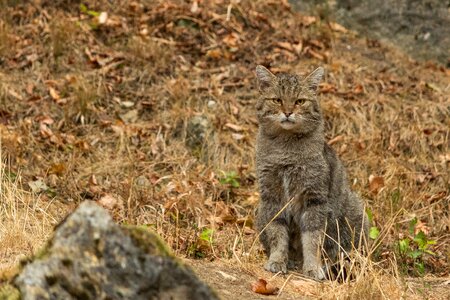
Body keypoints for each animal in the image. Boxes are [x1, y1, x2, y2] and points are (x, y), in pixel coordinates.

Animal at [253, 64, 370, 280]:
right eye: (277, 100)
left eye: (299, 101)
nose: (288, 112)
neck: (286, 151)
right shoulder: (272, 197)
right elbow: (277, 234)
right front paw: (277, 260)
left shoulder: (314, 198)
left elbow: (312, 239)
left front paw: (312, 267)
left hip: (356, 215)